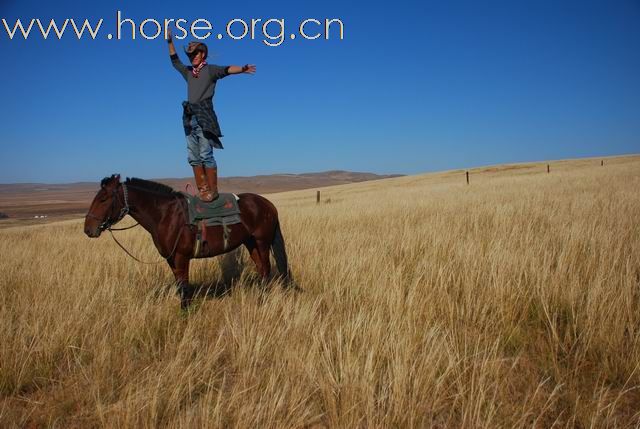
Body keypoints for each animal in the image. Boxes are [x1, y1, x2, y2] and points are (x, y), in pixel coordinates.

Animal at [85, 174, 296, 308]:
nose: (88, 229)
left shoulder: (181, 257)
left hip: (262, 241)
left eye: (103, 199)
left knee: (266, 268)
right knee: (261, 269)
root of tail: (268, 204)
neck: (166, 215)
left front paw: (185, 313)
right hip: (250, 243)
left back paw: (263, 301)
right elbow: (180, 285)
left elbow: (185, 286)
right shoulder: (171, 259)